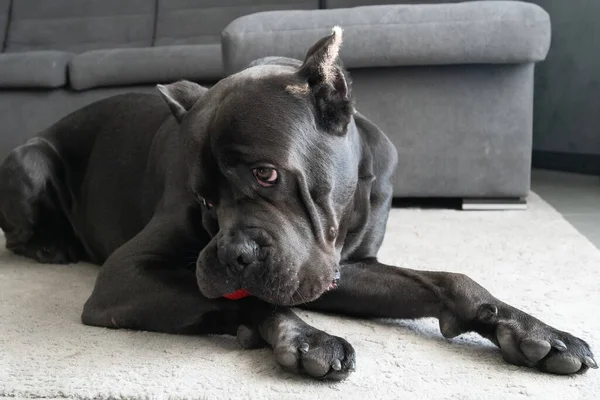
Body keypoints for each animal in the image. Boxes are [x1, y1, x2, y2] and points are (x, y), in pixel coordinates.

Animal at [0, 29, 596, 380]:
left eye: (266, 173)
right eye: (203, 198)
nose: (230, 255)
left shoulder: (347, 267)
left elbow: (449, 281)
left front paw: (536, 332)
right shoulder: (122, 279)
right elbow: (246, 299)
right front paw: (304, 336)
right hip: (29, 160)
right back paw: (52, 246)